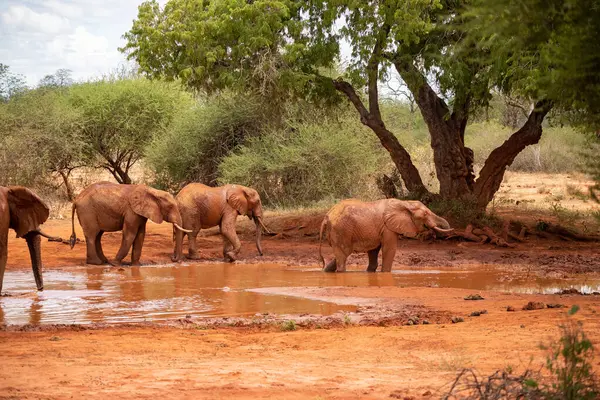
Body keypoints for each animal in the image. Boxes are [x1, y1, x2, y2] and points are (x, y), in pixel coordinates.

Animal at [316, 199, 452, 272]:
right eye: (425, 214)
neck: (405, 203)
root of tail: (326, 217)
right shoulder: (388, 227)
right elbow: (389, 249)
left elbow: (374, 250)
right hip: (341, 230)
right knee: (343, 256)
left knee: (341, 255)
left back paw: (325, 271)